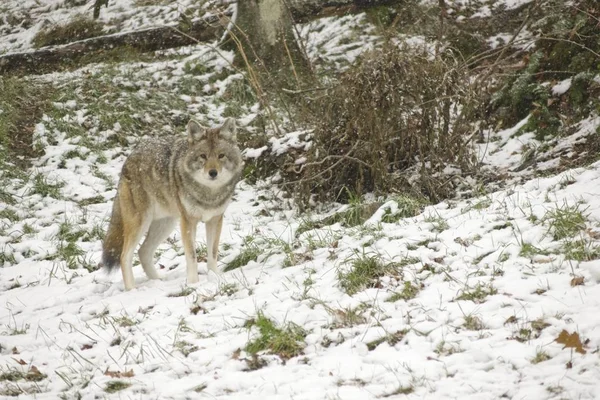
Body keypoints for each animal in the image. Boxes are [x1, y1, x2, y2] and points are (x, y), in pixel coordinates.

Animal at [101, 117, 244, 290]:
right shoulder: (188, 222)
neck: (208, 194)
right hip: (141, 224)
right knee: (124, 256)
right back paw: (132, 290)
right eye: (203, 156)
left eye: (221, 155)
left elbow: (213, 253)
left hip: (166, 224)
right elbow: (192, 256)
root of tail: (128, 159)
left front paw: (214, 277)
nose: (213, 173)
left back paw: (157, 282)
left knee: (143, 252)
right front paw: (193, 284)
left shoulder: (215, 219)